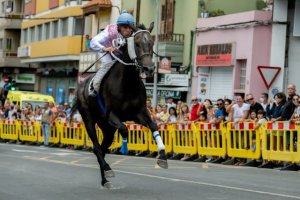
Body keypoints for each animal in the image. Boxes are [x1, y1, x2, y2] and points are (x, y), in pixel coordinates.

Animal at [71, 22, 168, 188]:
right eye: (136, 43)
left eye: (151, 42)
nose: (149, 68)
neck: (127, 82)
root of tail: (80, 86)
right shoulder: (112, 115)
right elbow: (124, 129)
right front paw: (124, 147)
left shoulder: (139, 113)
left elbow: (153, 125)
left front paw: (162, 155)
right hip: (89, 120)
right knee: (96, 146)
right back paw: (107, 169)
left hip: (107, 128)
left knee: (101, 149)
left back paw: (105, 180)